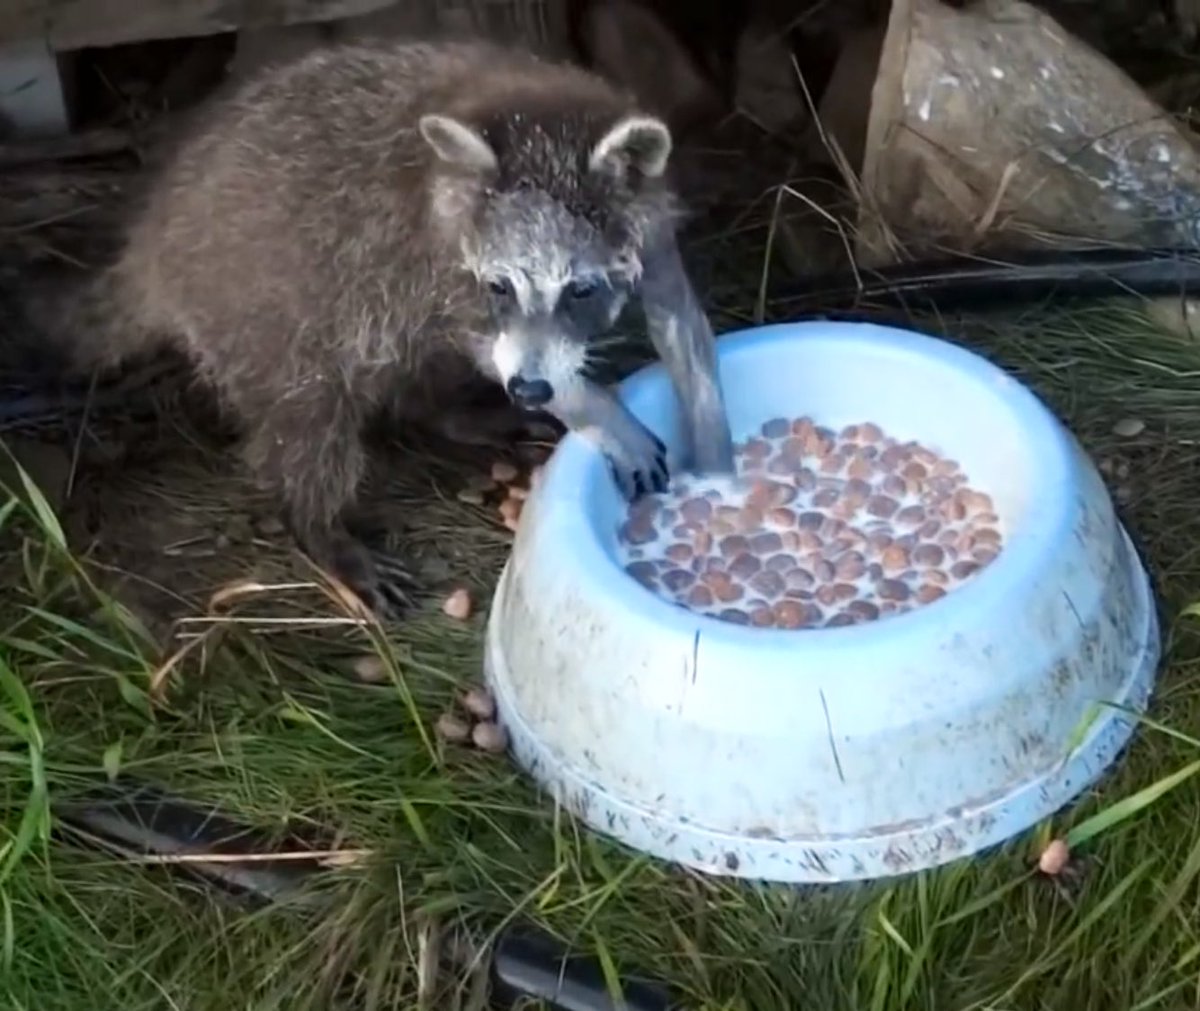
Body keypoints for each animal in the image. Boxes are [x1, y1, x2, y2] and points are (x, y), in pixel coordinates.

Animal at [72, 37, 739, 614]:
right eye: (501, 285)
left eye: (580, 289)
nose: (530, 389)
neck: (545, 121)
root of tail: (152, 246)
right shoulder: (440, 255)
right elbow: (483, 342)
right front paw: (593, 407)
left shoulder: (648, 223)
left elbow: (680, 320)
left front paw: (715, 462)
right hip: (260, 307)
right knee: (310, 417)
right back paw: (318, 524)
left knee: (409, 360)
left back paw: (447, 412)